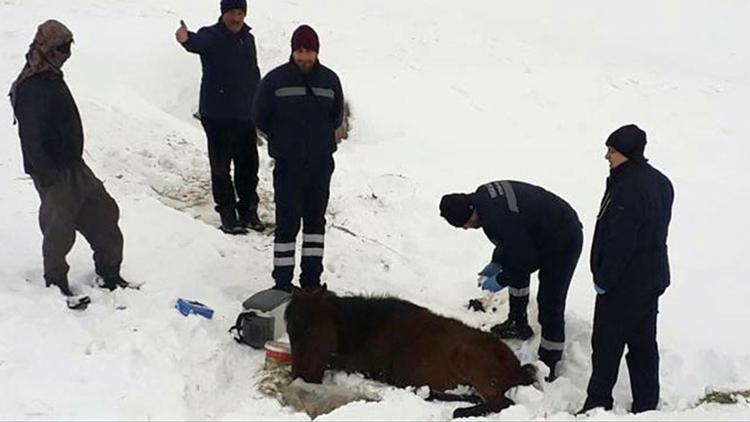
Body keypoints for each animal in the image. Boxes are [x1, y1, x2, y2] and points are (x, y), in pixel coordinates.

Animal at [284, 286, 536, 418]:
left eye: (310, 330)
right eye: (290, 332)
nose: (301, 376)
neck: (366, 328)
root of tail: (517, 367)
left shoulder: (368, 367)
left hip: (469, 359)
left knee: (502, 402)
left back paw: (459, 411)